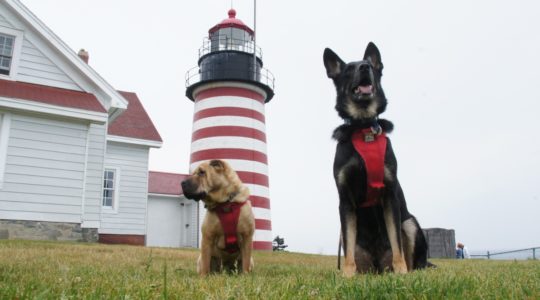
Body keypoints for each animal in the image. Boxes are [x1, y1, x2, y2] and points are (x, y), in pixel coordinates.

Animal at [322, 42, 428, 276]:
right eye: (348, 69)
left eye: (369, 65)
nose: (364, 67)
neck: (363, 127)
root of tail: (378, 266)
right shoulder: (345, 200)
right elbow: (348, 249)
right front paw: (347, 275)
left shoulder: (389, 195)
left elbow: (397, 243)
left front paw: (401, 272)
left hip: (410, 223)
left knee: (414, 258)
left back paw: (409, 270)